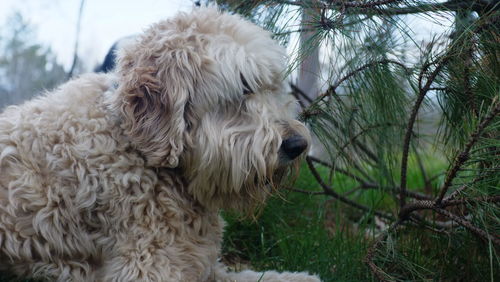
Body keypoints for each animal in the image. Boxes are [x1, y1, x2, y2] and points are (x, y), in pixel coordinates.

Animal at [0, 6, 318, 282]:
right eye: (243, 88)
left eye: (272, 85)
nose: (298, 144)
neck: (135, 145)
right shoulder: (148, 268)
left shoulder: (204, 264)